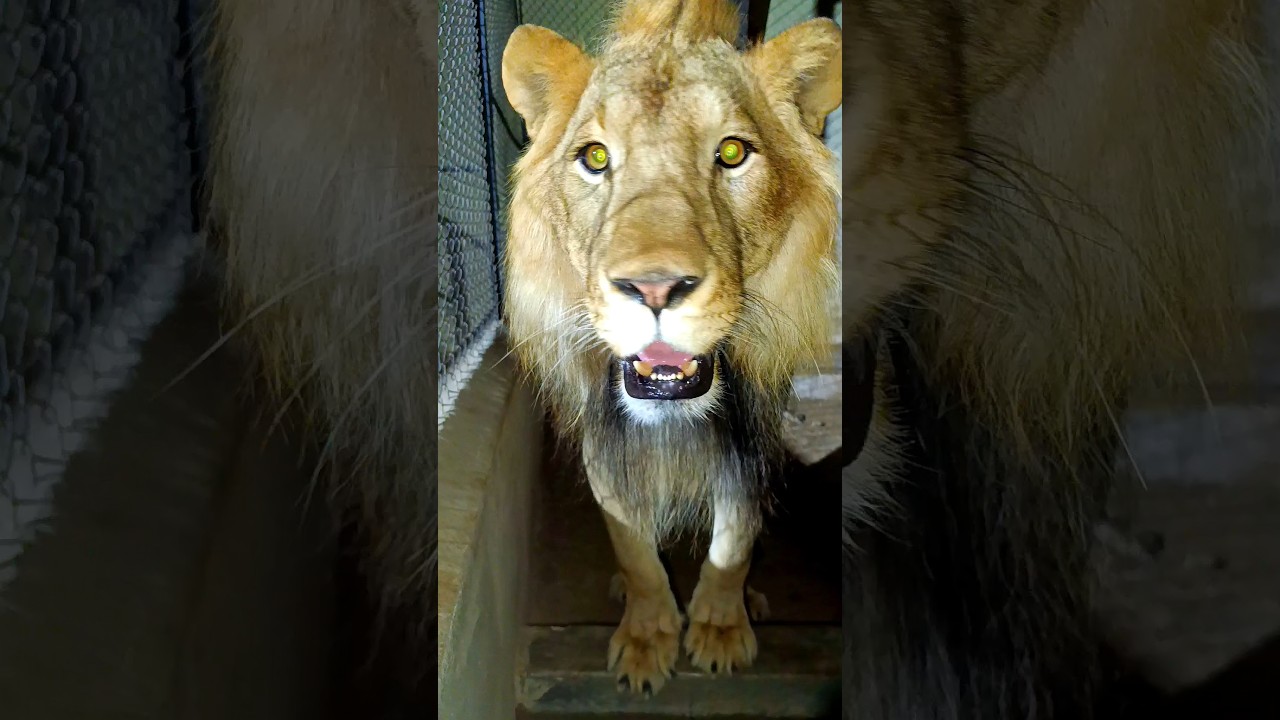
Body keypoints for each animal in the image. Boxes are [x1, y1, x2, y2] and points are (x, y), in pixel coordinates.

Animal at [501, 0, 841, 696]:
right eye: (595, 157)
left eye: (732, 152)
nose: (654, 288)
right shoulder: (604, 435)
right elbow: (635, 550)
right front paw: (646, 638)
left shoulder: (751, 433)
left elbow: (734, 538)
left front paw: (720, 627)